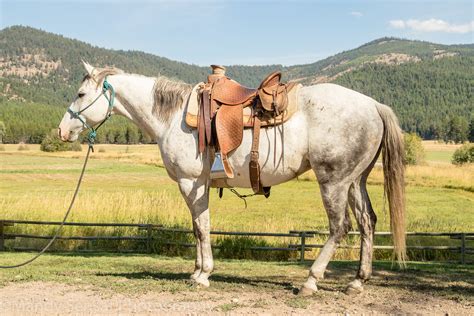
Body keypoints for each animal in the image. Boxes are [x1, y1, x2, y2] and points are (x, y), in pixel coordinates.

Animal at [59, 61, 406, 294]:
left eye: (80, 93)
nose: (63, 131)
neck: (170, 117)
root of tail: (373, 105)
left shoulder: (191, 182)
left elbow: (201, 227)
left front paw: (202, 274)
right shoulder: (198, 185)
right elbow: (198, 228)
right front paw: (197, 271)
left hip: (333, 181)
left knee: (340, 227)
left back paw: (310, 281)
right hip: (355, 181)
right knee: (367, 222)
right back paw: (357, 282)